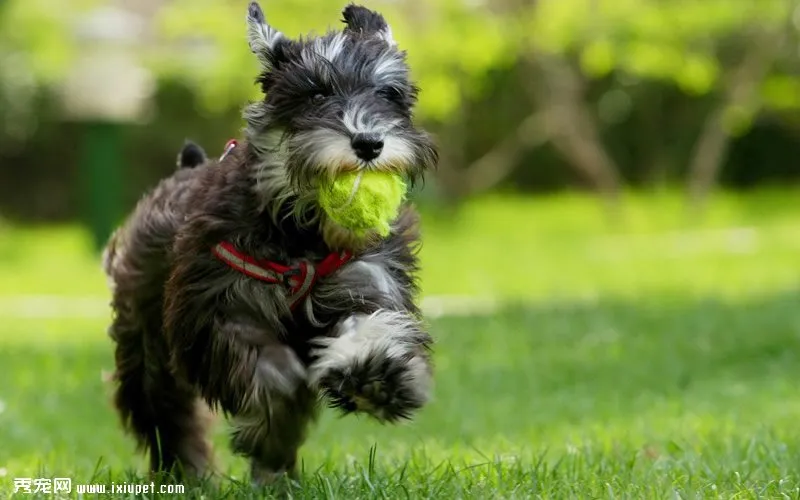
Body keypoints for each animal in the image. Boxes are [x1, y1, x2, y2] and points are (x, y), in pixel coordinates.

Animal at [101, 0, 438, 484]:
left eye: (389, 93)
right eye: (315, 94)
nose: (369, 143)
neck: (301, 232)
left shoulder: (367, 280)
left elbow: (371, 325)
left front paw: (376, 376)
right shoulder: (220, 308)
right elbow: (268, 371)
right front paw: (277, 417)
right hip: (145, 346)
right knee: (165, 414)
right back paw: (191, 474)